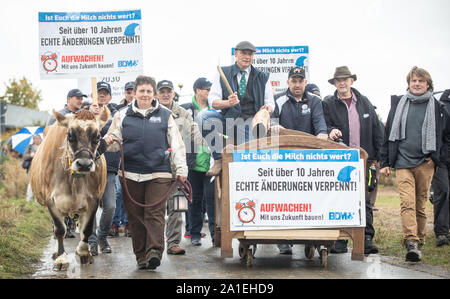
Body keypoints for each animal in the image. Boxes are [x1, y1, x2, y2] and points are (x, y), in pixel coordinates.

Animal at [30, 108, 110, 272]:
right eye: (70, 135)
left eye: (97, 137)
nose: (84, 164)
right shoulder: (51, 199)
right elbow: (60, 229)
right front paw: (61, 258)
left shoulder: (93, 199)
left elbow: (87, 229)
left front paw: (84, 253)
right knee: (57, 228)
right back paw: (56, 252)